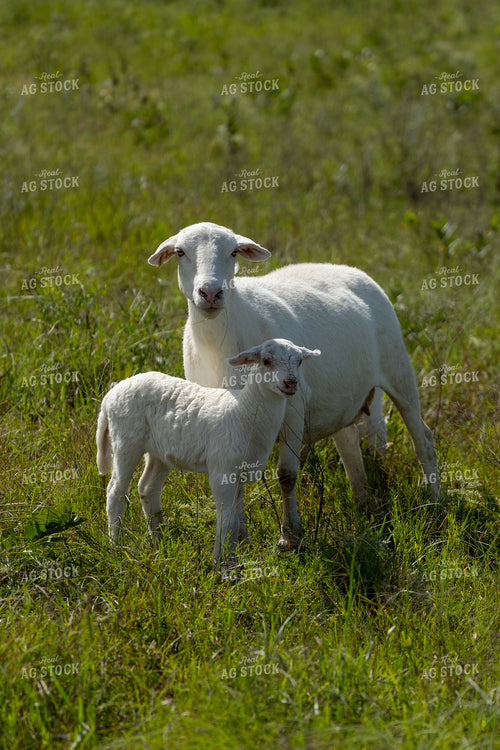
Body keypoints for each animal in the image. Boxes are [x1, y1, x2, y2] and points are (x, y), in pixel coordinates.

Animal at [96, 337, 321, 564]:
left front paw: (239, 554)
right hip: (126, 440)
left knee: (148, 489)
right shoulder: (222, 470)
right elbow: (229, 522)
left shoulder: (238, 472)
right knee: (115, 493)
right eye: (266, 361)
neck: (245, 411)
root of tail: (110, 395)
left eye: (300, 361)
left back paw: (159, 543)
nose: (291, 383)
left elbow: (236, 521)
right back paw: (116, 545)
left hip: (160, 452)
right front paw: (221, 564)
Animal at [148, 221, 440, 549]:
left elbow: (286, 475)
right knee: (350, 443)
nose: (210, 292)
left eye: (234, 252)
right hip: (343, 396)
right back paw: (363, 503)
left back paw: (436, 502)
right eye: (180, 252)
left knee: (423, 440)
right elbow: (235, 477)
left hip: (398, 369)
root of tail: (348, 269)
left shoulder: (293, 408)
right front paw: (241, 538)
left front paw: (290, 536)